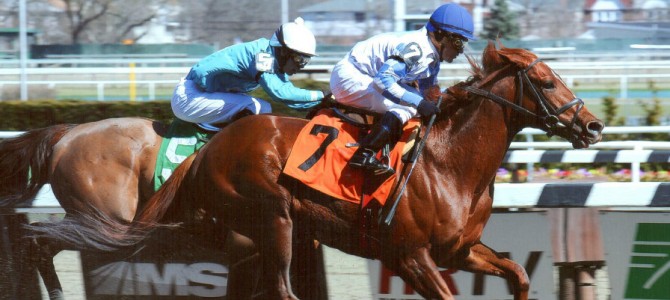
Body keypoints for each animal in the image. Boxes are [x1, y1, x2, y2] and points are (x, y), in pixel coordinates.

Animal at [26, 42, 608, 300]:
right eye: (547, 82)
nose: (595, 125)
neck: (449, 164)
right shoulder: (411, 255)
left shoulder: (457, 251)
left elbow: (517, 273)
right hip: (267, 218)